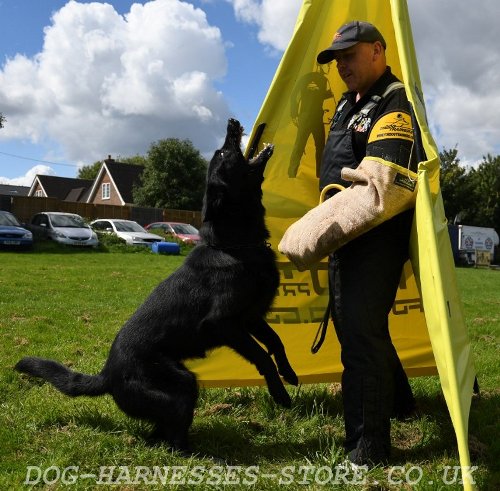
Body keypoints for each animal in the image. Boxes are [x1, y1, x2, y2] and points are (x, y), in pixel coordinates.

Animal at [14, 119, 296, 454]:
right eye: (224, 153)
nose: (232, 122)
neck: (235, 246)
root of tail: (107, 375)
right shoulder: (224, 324)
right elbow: (262, 355)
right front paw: (280, 393)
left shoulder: (251, 317)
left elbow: (276, 342)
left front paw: (290, 373)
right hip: (180, 383)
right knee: (172, 435)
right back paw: (196, 454)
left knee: (160, 433)